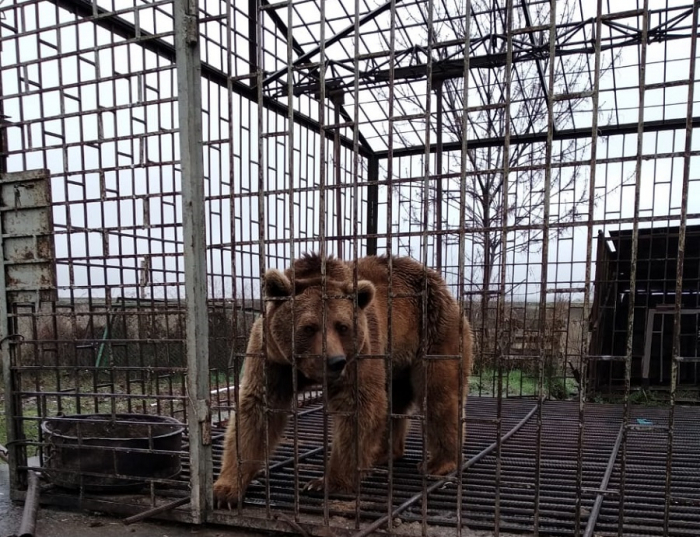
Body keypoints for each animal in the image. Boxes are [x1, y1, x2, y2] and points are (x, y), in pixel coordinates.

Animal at [213, 252, 474, 506]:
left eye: (342, 326)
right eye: (309, 327)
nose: (335, 361)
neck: (304, 369)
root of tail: (437, 281)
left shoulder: (361, 350)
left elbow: (359, 406)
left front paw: (325, 483)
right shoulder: (273, 358)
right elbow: (257, 410)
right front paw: (226, 489)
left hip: (433, 331)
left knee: (438, 394)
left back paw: (439, 462)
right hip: (396, 357)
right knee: (395, 401)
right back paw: (383, 452)